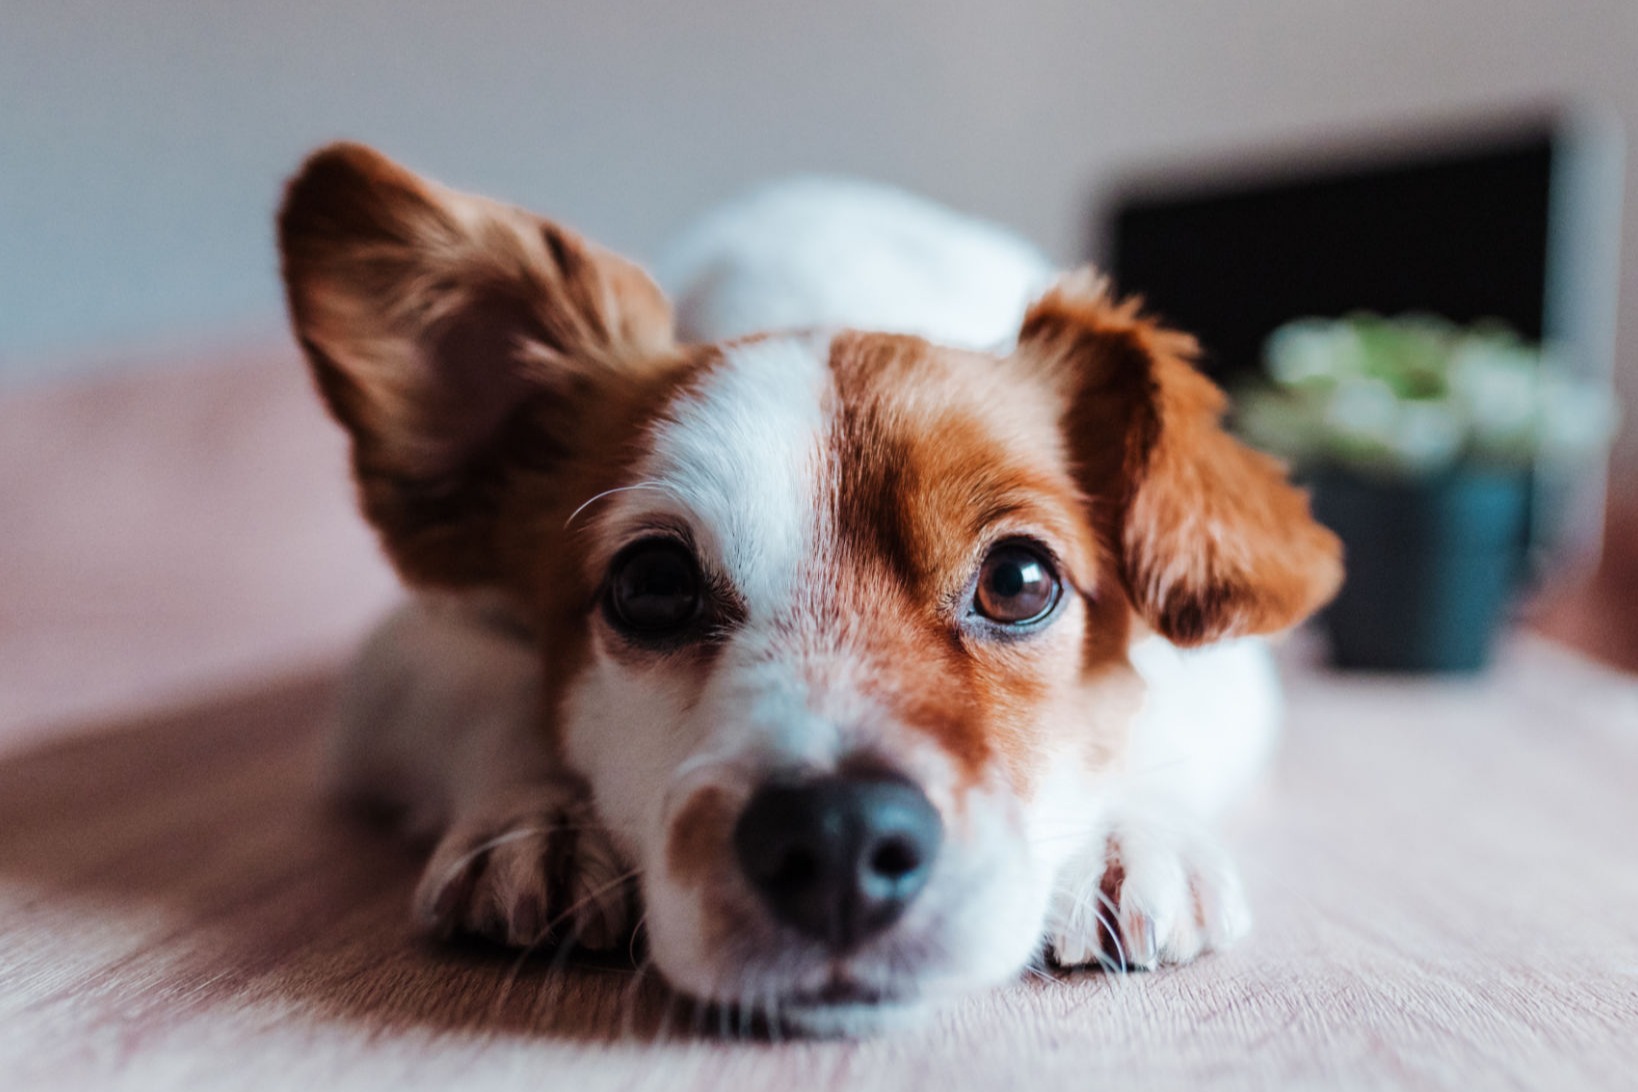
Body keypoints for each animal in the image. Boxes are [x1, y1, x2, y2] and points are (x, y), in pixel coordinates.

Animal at [275, 140, 1336, 1041]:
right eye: (650, 585)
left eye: (1019, 579)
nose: (837, 840)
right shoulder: (400, 655)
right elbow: (492, 693)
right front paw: (539, 818)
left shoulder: (1228, 664)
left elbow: (1155, 711)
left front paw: (1126, 831)